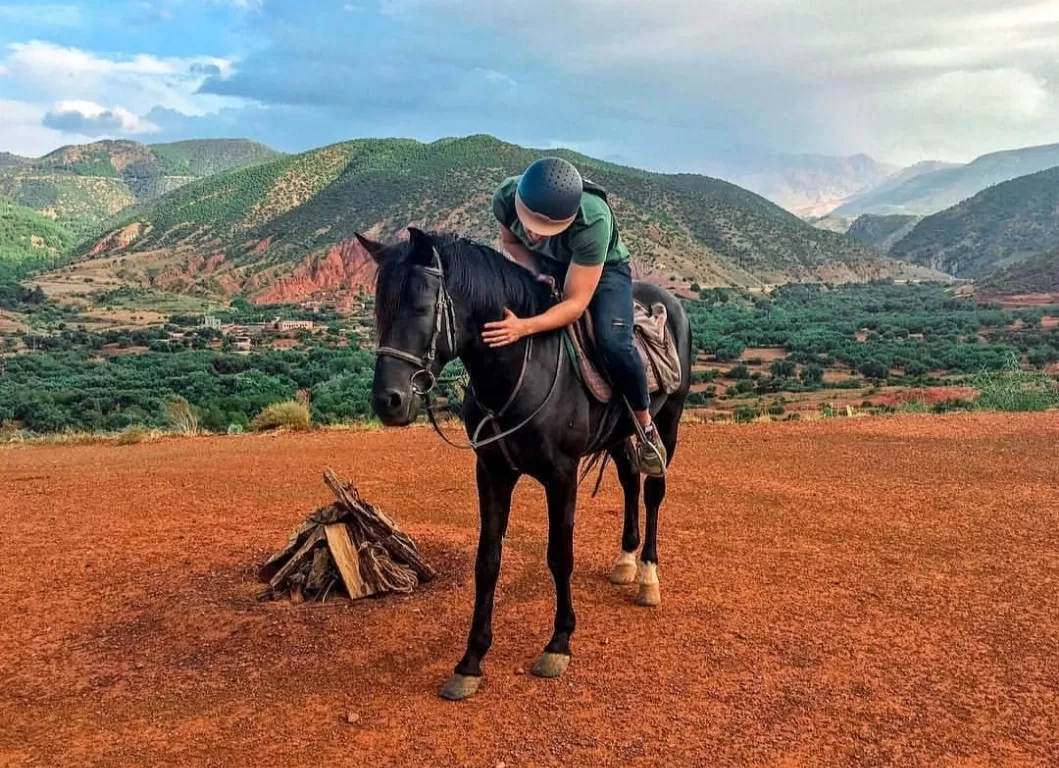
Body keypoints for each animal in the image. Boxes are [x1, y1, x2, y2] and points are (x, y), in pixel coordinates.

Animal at [364, 224, 694, 699]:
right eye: (379, 310)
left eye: (422, 307)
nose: (387, 401)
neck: (520, 366)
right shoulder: (492, 471)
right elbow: (487, 561)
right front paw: (470, 662)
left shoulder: (562, 475)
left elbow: (560, 555)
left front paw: (559, 643)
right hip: (619, 432)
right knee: (631, 478)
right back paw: (625, 561)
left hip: (668, 421)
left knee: (653, 489)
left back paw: (648, 576)